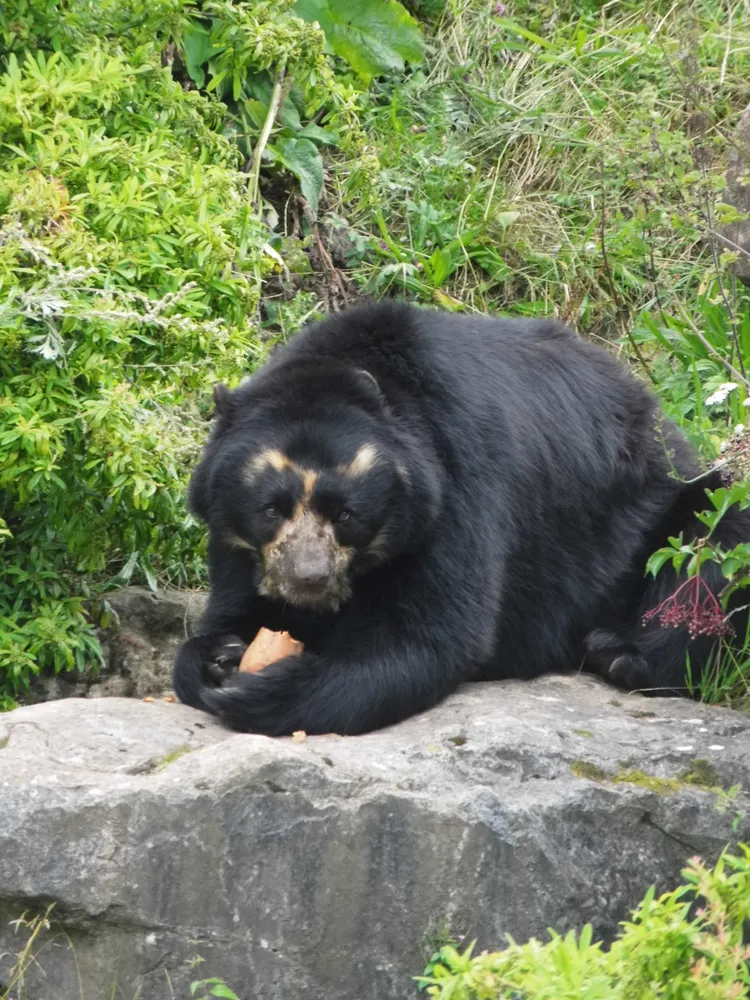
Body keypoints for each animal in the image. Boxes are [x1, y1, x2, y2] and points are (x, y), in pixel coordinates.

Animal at [172, 300, 750, 736]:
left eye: (347, 513)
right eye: (271, 509)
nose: (307, 578)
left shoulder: (457, 480)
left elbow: (430, 634)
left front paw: (260, 691)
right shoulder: (233, 537)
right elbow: (235, 606)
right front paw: (216, 658)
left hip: (657, 515)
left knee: (713, 545)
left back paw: (621, 655)